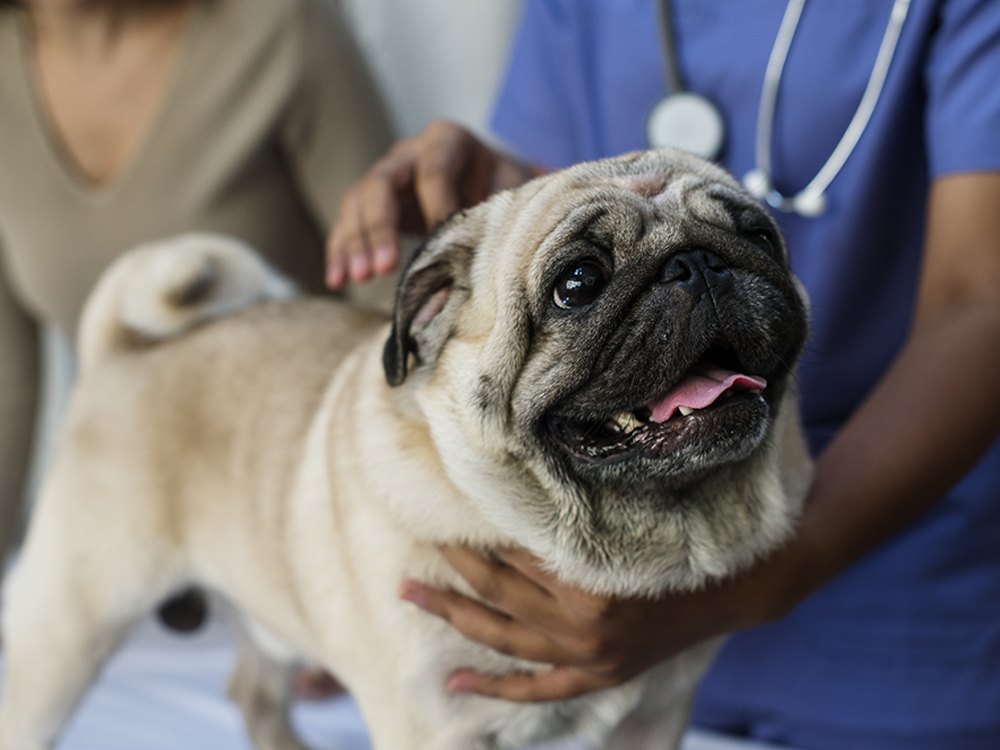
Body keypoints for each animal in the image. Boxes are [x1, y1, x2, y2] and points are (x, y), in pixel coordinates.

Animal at [0, 148, 812, 750]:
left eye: (759, 237)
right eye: (577, 283)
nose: (697, 263)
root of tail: (119, 351)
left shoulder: (654, 718)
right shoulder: (434, 726)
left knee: (253, 690)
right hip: (71, 624)